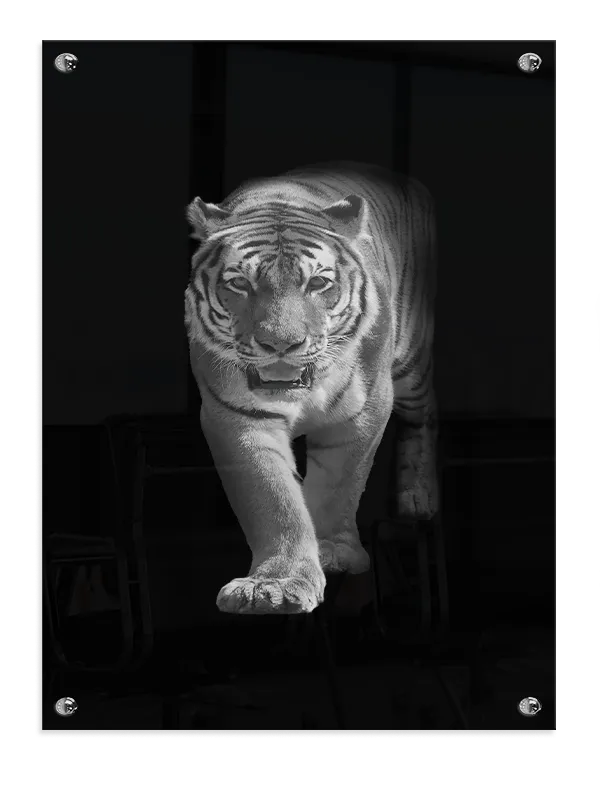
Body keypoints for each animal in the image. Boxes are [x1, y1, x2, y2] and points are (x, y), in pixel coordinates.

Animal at [184, 161, 438, 615]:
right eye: (240, 284)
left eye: (317, 284)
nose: (281, 345)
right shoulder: (235, 417)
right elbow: (273, 497)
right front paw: (274, 585)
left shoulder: (365, 409)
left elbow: (340, 484)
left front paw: (332, 553)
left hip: (413, 369)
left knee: (425, 417)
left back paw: (419, 499)